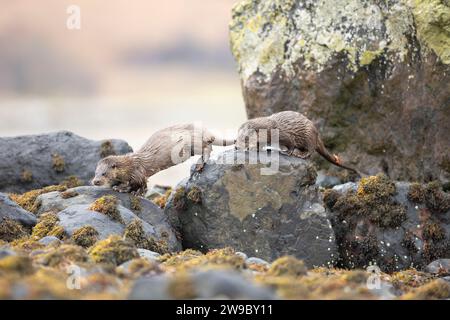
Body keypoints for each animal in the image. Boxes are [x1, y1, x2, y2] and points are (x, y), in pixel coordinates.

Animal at [90, 123, 234, 194]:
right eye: (95, 173)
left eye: (104, 173)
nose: (95, 181)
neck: (129, 166)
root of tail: (204, 130)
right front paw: (119, 186)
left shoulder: (138, 173)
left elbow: (140, 184)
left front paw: (126, 189)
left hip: (192, 144)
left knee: (208, 147)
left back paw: (200, 164)